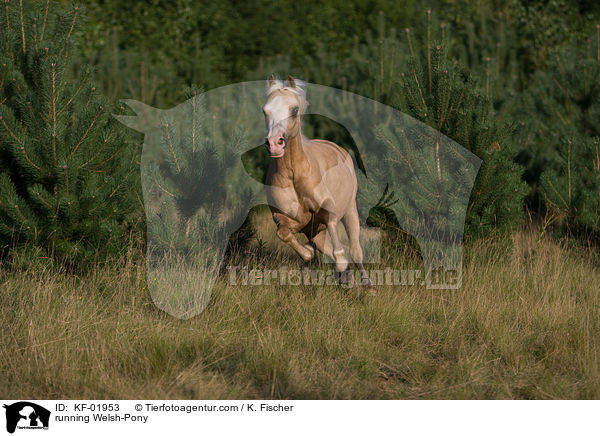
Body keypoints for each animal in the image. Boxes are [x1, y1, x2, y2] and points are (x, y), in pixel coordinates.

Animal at [264, 75, 372, 292]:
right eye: (265, 110)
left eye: (294, 110)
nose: (274, 144)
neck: (294, 174)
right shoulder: (287, 219)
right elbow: (284, 234)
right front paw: (309, 255)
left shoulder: (327, 209)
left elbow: (338, 247)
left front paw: (342, 268)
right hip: (317, 233)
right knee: (327, 248)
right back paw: (349, 281)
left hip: (350, 210)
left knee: (355, 250)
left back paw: (367, 285)